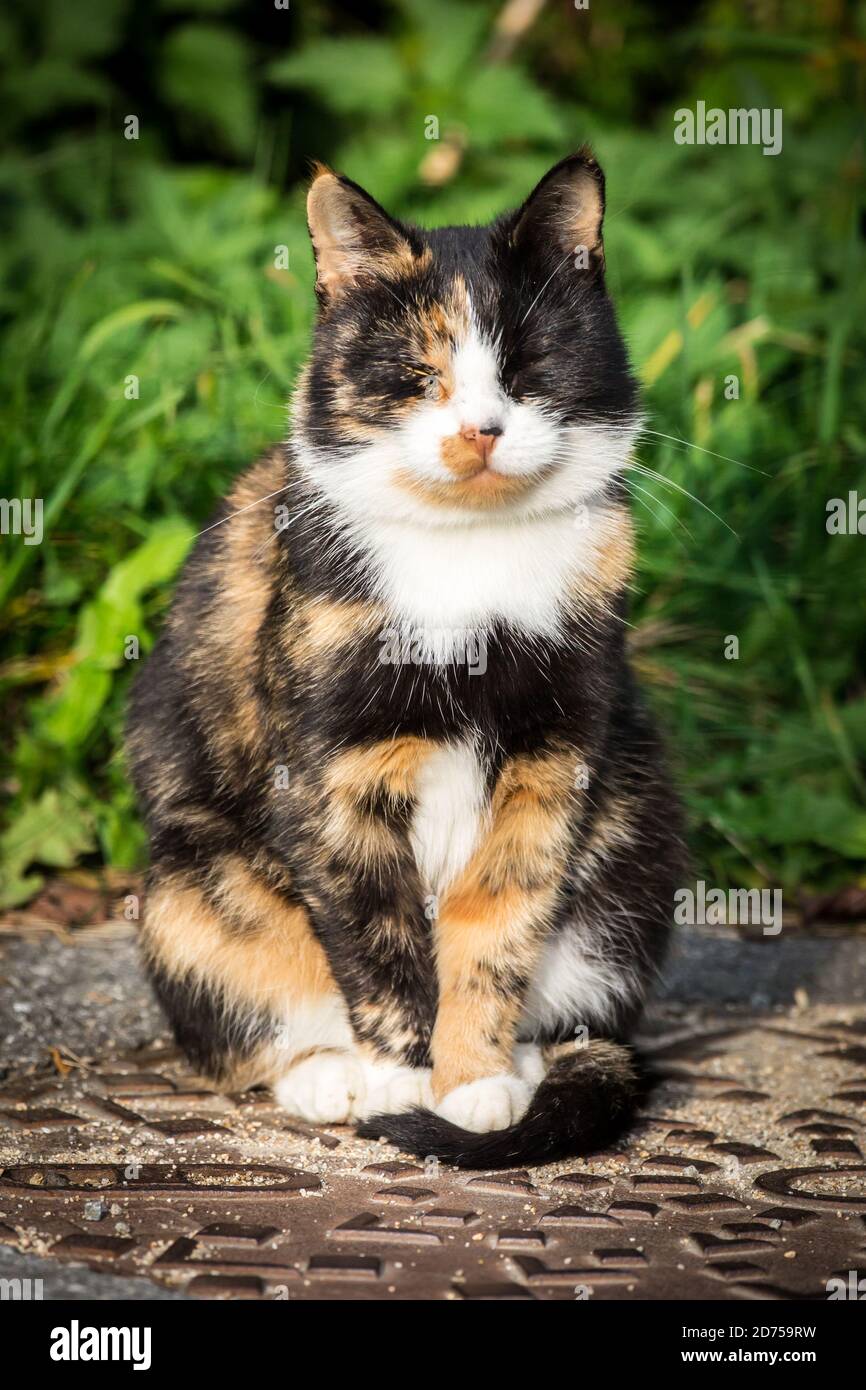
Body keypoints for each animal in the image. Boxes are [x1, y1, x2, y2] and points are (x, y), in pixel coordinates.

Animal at [127, 152, 683, 1167]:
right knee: (250, 1024)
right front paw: (404, 1078)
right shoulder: (328, 772)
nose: (479, 430)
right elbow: (374, 932)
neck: (468, 563)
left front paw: (473, 1084)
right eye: (417, 374)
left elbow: (497, 914)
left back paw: (528, 1065)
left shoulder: (556, 754)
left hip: (636, 846)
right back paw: (332, 1077)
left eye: (528, 365)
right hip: (189, 893)